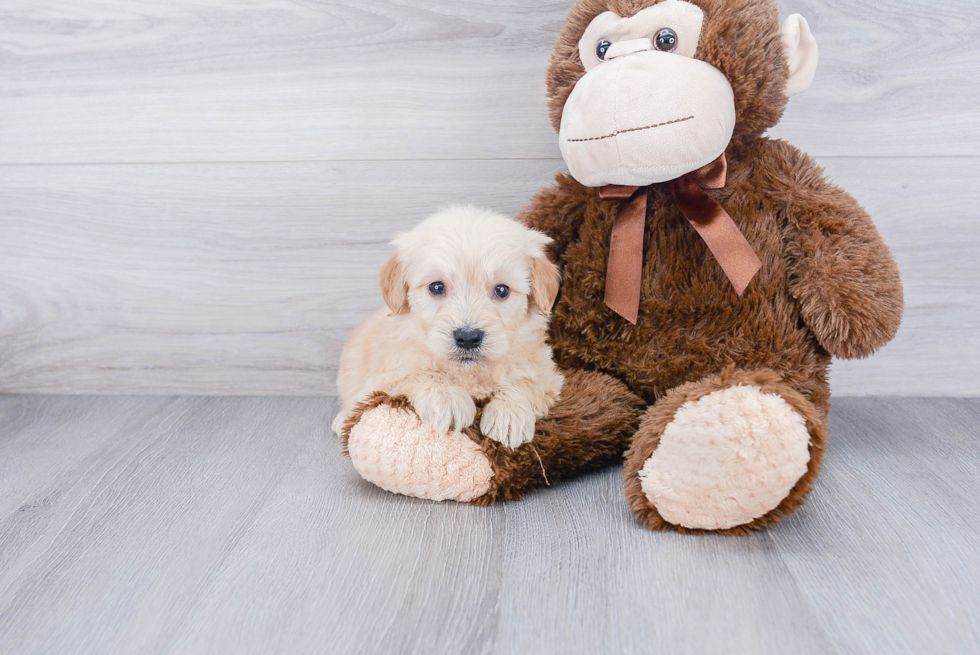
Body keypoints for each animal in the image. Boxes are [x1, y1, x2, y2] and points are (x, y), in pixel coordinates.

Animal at [334, 206, 564, 452]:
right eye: (437, 287)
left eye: (502, 290)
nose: (468, 337)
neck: (468, 373)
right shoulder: (383, 378)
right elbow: (418, 374)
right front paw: (447, 399)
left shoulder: (549, 374)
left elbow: (527, 382)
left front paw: (508, 416)